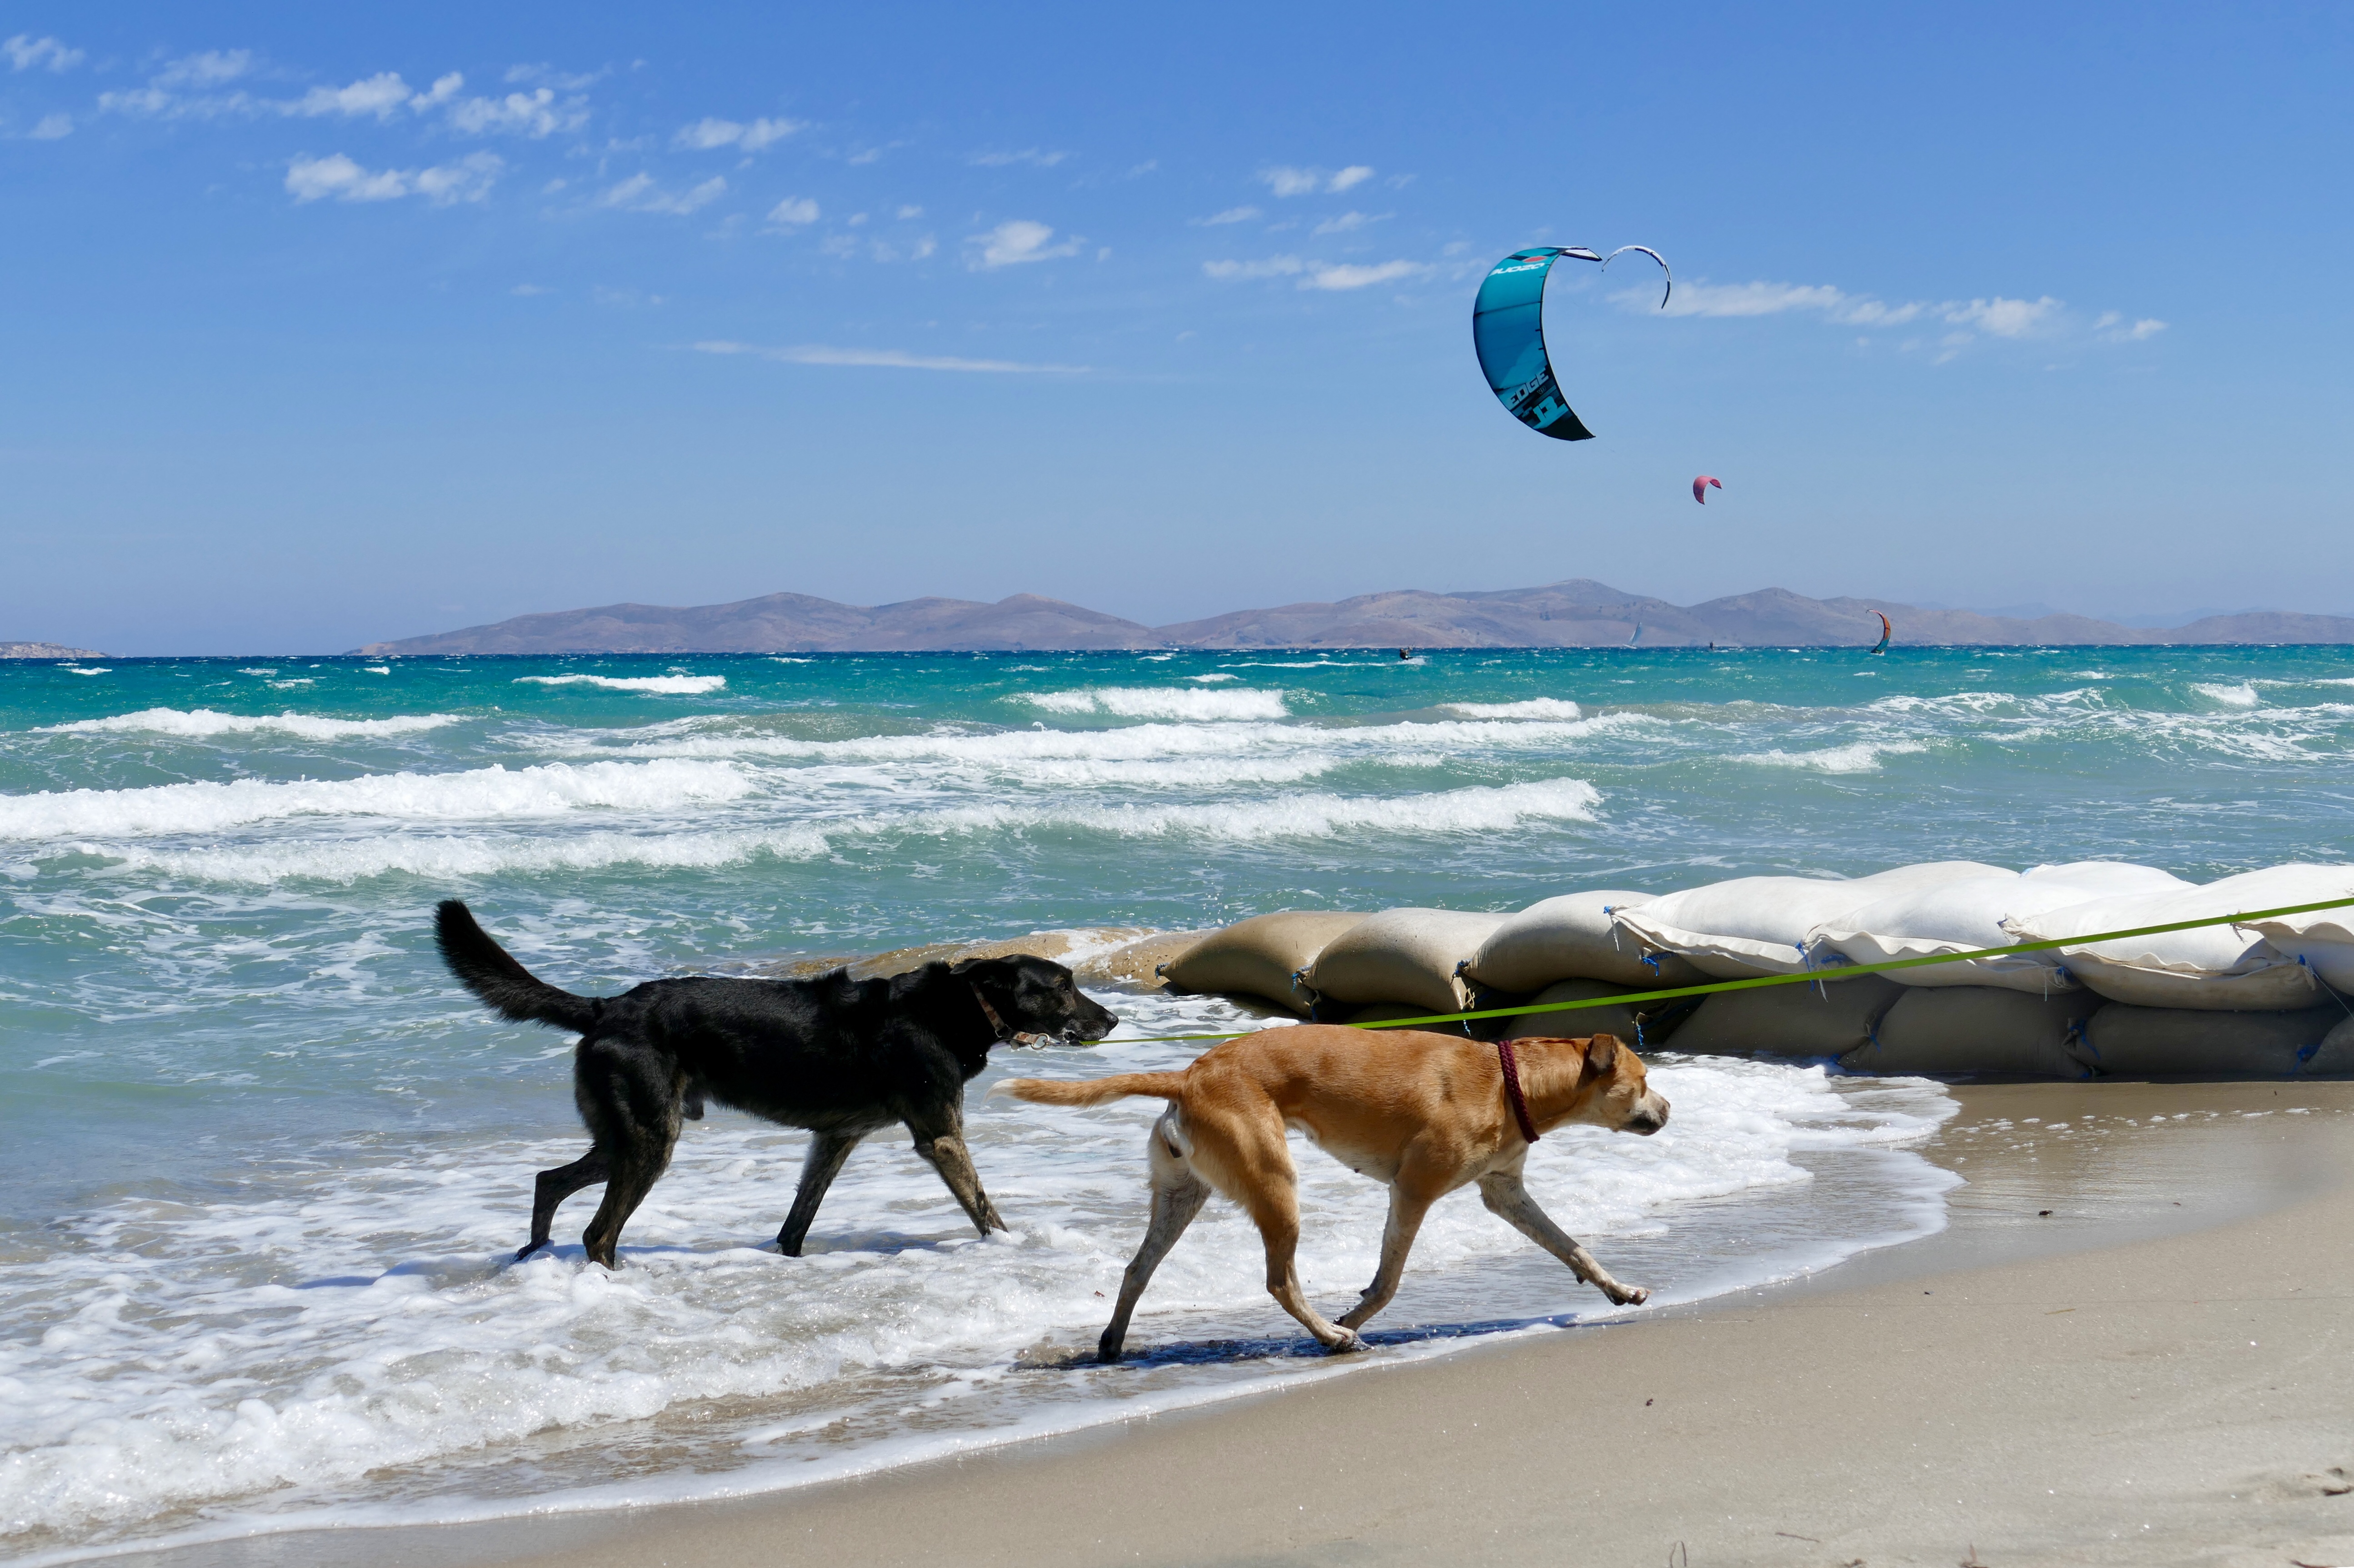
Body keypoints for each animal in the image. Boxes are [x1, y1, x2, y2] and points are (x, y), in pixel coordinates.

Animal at [435, 899, 1120, 1262]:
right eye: (1062, 987)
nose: (1112, 1020)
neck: (956, 1006)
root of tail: (605, 1008)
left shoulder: (835, 1138)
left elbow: (799, 1218)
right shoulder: (941, 1137)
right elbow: (984, 1208)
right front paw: (1013, 1249)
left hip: (625, 1135)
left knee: (548, 1180)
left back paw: (533, 1256)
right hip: (649, 1139)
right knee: (597, 1231)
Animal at [993, 1026, 1676, 1356]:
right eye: (1645, 1080)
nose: (1670, 1109)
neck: (1510, 1081)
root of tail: (1187, 1075)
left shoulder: (1503, 1192)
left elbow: (1571, 1246)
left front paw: (1617, 1290)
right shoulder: (1412, 1190)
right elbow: (1389, 1280)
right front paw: (1353, 1316)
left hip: (1183, 1193)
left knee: (1137, 1268)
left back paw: (1111, 1342)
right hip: (1275, 1183)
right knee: (1279, 1280)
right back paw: (1329, 1335)